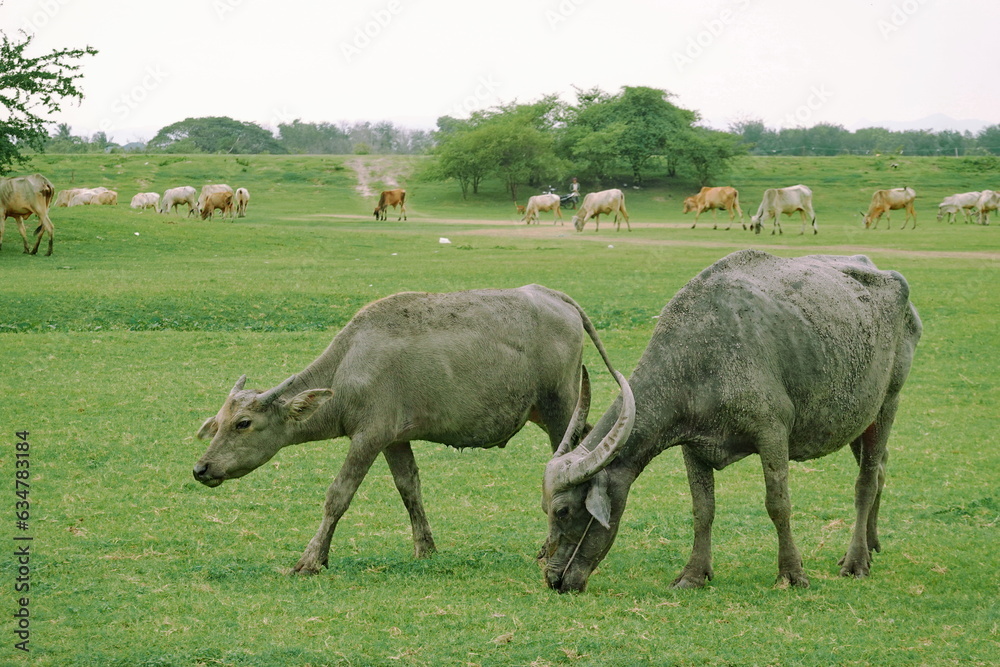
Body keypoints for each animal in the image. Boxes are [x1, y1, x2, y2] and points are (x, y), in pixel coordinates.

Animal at [192, 286, 628, 576]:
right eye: (217, 423)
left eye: (243, 423)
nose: (201, 468)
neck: (349, 366)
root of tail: (554, 296)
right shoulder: (394, 440)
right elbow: (409, 489)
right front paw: (425, 547)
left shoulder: (368, 438)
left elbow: (338, 496)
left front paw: (311, 559)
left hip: (561, 407)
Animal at [544, 252, 924, 596]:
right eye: (547, 509)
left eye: (563, 511)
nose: (553, 579)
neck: (699, 359)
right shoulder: (693, 445)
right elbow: (703, 510)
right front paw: (694, 574)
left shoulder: (772, 434)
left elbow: (778, 504)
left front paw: (792, 573)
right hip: (859, 420)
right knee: (880, 469)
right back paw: (871, 545)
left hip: (887, 403)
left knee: (866, 481)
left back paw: (856, 560)